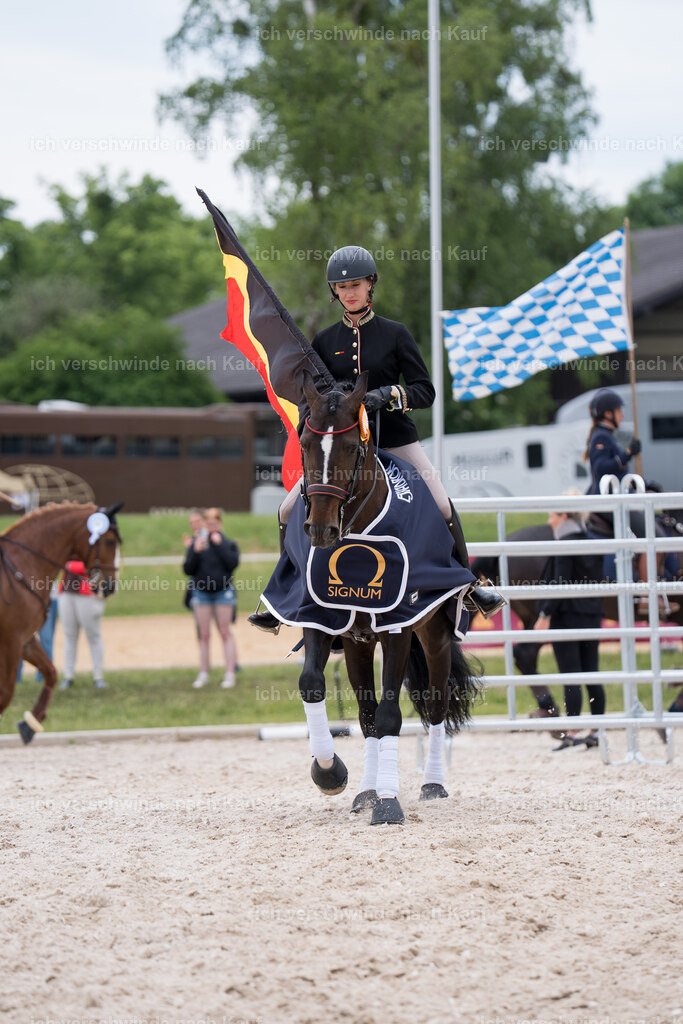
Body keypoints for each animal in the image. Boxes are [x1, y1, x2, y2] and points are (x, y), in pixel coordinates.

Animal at [0, 501, 122, 743]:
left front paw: (31, 724)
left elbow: (51, 673)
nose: (110, 586)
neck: (22, 562)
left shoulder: (25, 640)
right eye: (110, 541)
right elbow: (6, 693)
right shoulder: (11, 641)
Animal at [277, 371, 481, 826]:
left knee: (436, 707)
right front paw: (331, 773)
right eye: (305, 444)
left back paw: (432, 785)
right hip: (357, 645)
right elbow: (313, 686)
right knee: (366, 715)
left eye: (353, 447)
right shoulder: (321, 617)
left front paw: (388, 804)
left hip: (435, 636)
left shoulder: (397, 627)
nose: (321, 530)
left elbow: (391, 714)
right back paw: (365, 792)